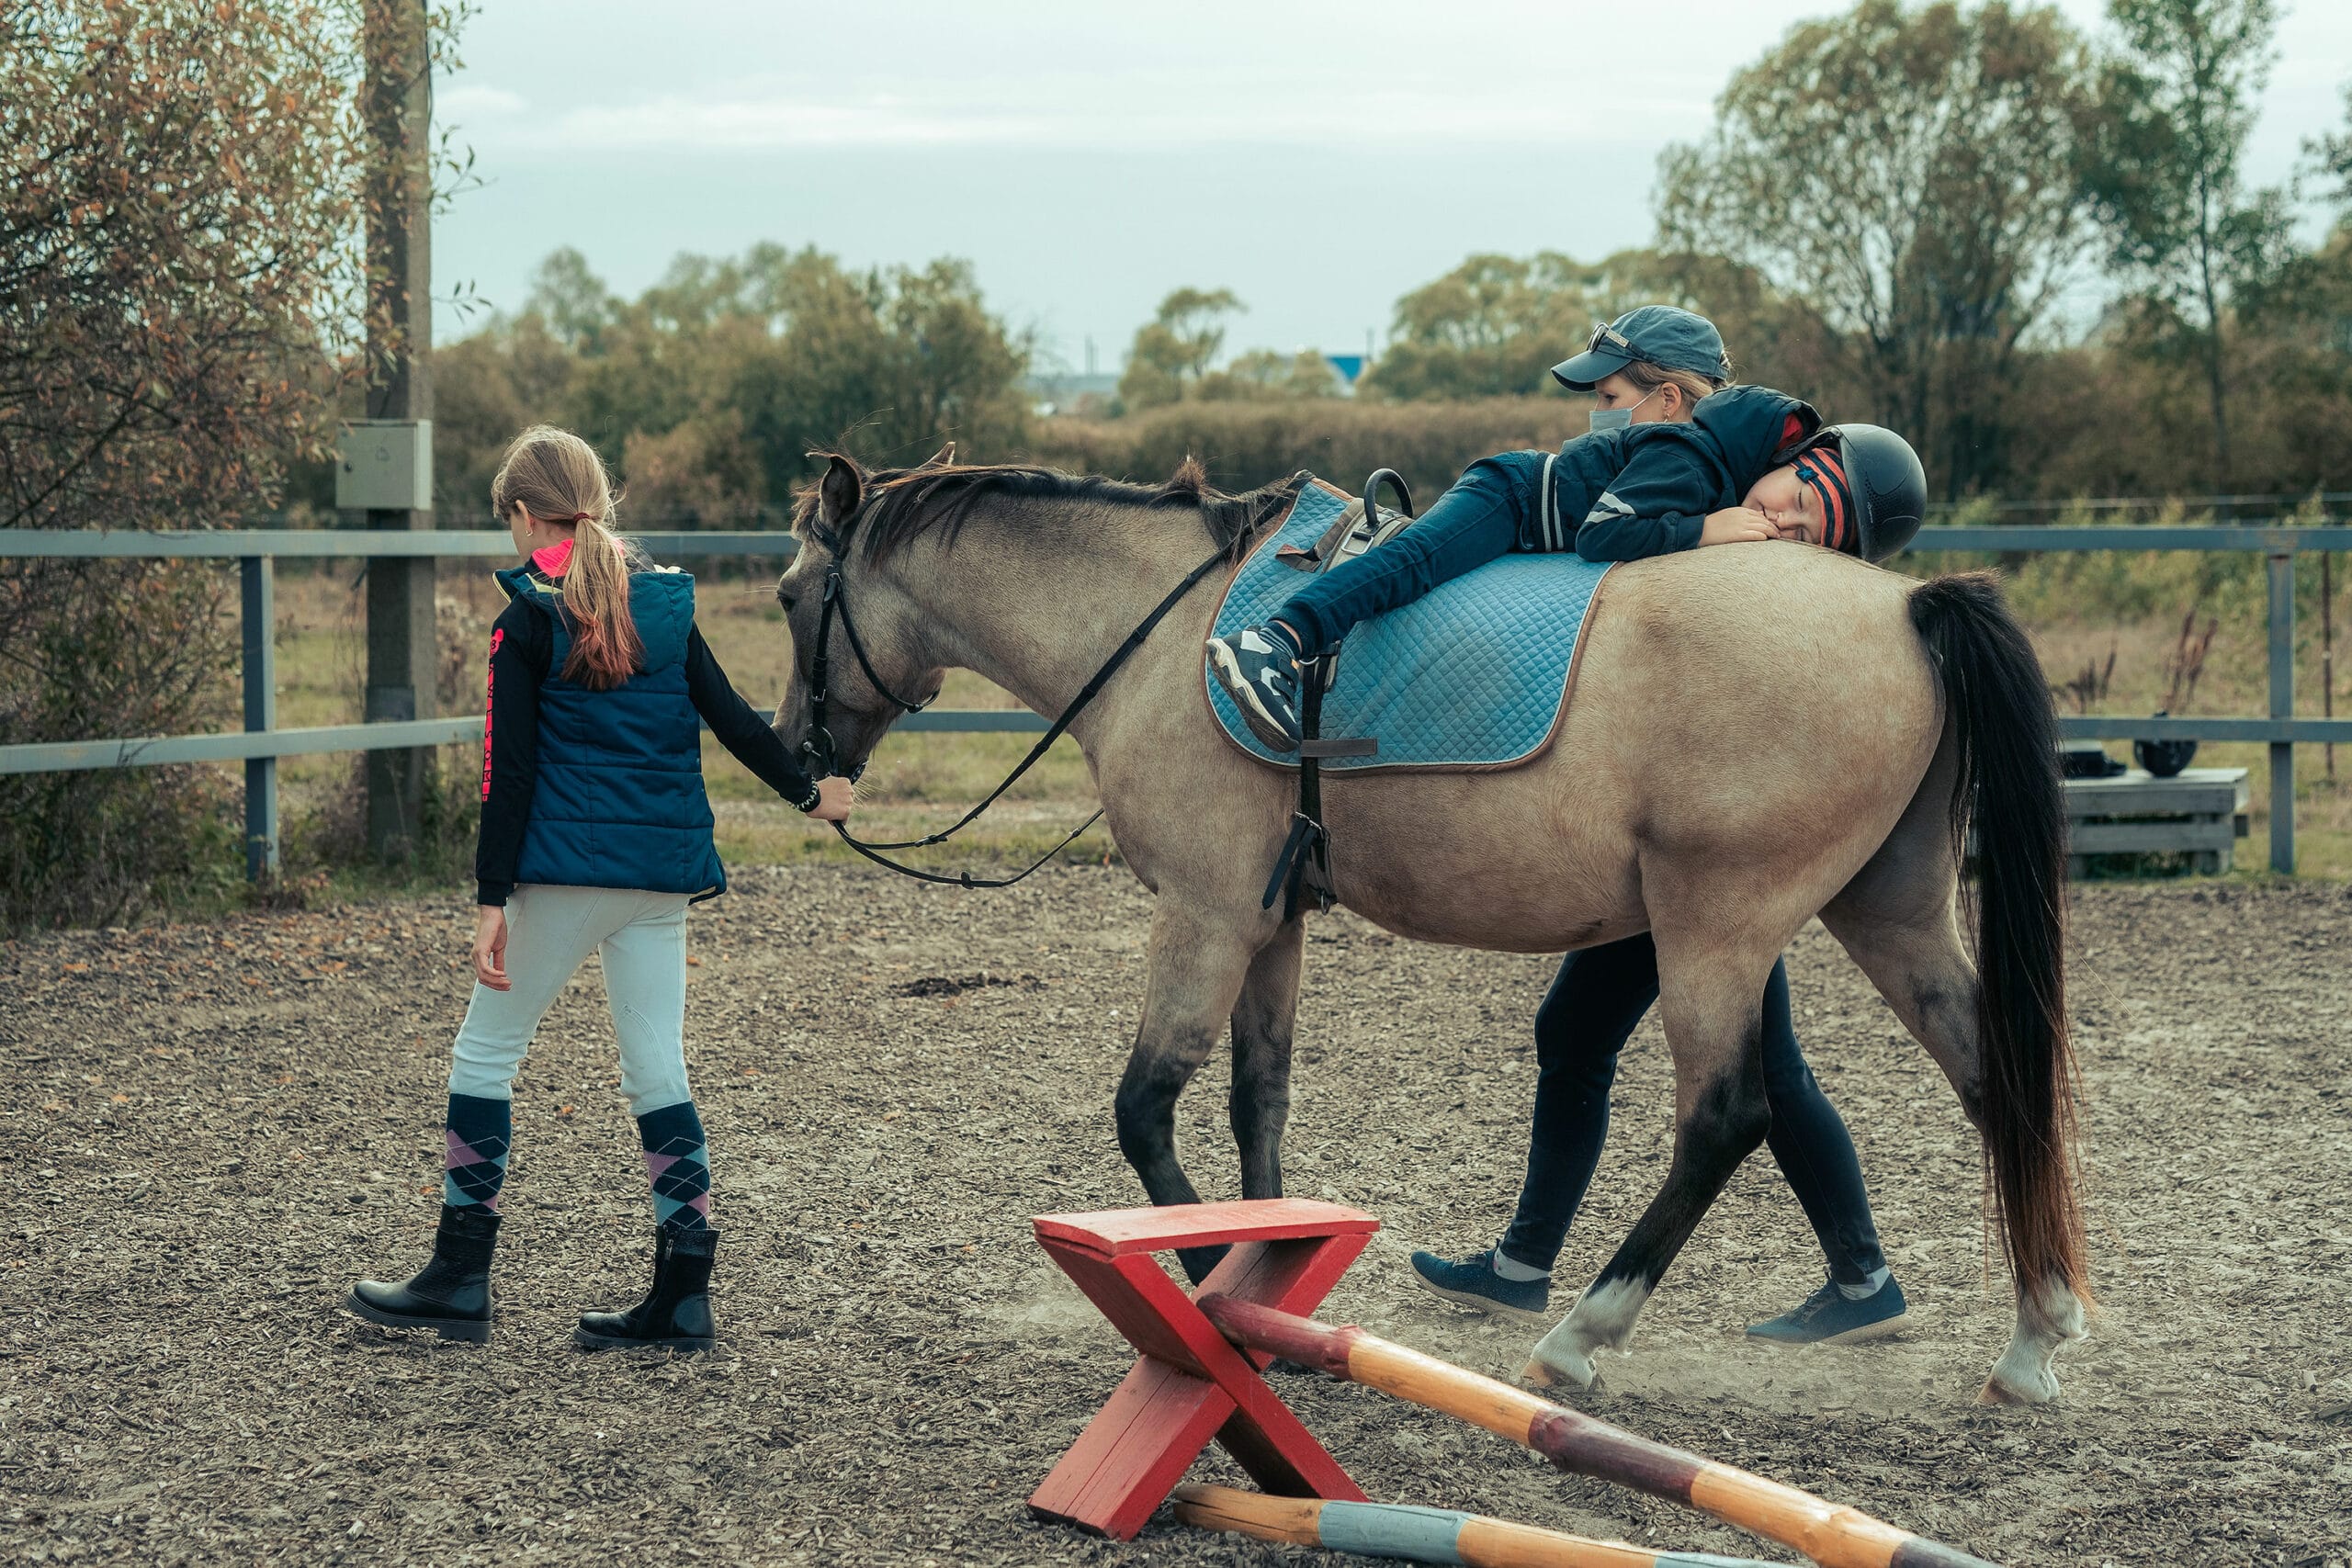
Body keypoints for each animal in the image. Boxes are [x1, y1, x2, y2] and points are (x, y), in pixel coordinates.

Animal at [762, 456, 2088, 1410]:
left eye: (784, 596)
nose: (794, 757)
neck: (1161, 631)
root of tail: (1910, 603)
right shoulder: (1268, 923)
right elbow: (1257, 1106)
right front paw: (1267, 1275)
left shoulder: (1202, 914)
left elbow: (1145, 1111)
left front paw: (1209, 1287)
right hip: (1885, 914)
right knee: (1993, 1081)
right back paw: (2034, 1338)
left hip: (1716, 931)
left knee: (1727, 1120)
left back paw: (1580, 1335)